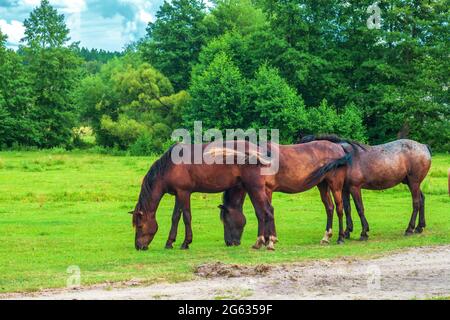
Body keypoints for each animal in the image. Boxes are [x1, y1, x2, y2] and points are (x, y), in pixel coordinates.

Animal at [218, 140, 356, 248]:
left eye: (226, 220)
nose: (228, 242)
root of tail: (339, 148)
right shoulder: (266, 191)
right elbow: (267, 212)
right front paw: (268, 239)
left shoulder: (266, 190)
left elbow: (264, 212)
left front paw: (268, 240)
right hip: (322, 184)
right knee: (329, 208)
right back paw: (326, 237)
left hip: (335, 185)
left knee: (339, 208)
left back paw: (340, 238)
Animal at [298, 135, 432, 240]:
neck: (345, 157)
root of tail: (424, 146)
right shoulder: (344, 189)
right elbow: (347, 209)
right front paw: (347, 232)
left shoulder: (355, 188)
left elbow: (359, 208)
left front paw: (363, 233)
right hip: (411, 183)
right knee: (422, 199)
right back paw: (419, 227)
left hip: (414, 183)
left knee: (416, 203)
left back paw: (409, 229)